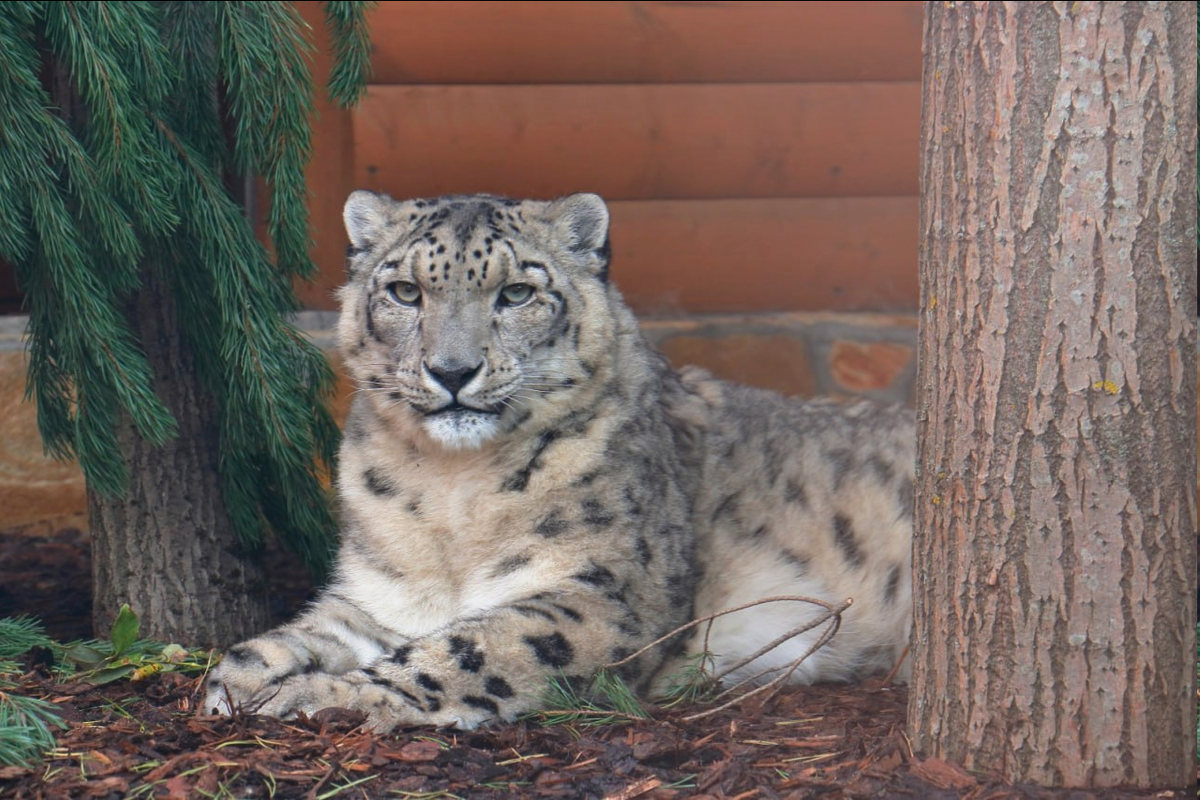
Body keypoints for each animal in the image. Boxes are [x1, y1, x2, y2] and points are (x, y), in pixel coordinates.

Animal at [201, 190, 912, 729]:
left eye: (516, 294)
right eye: (404, 291)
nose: (451, 370)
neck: (451, 491)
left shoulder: (603, 594)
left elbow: (467, 649)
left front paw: (319, 695)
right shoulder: (385, 593)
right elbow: (315, 631)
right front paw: (239, 678)